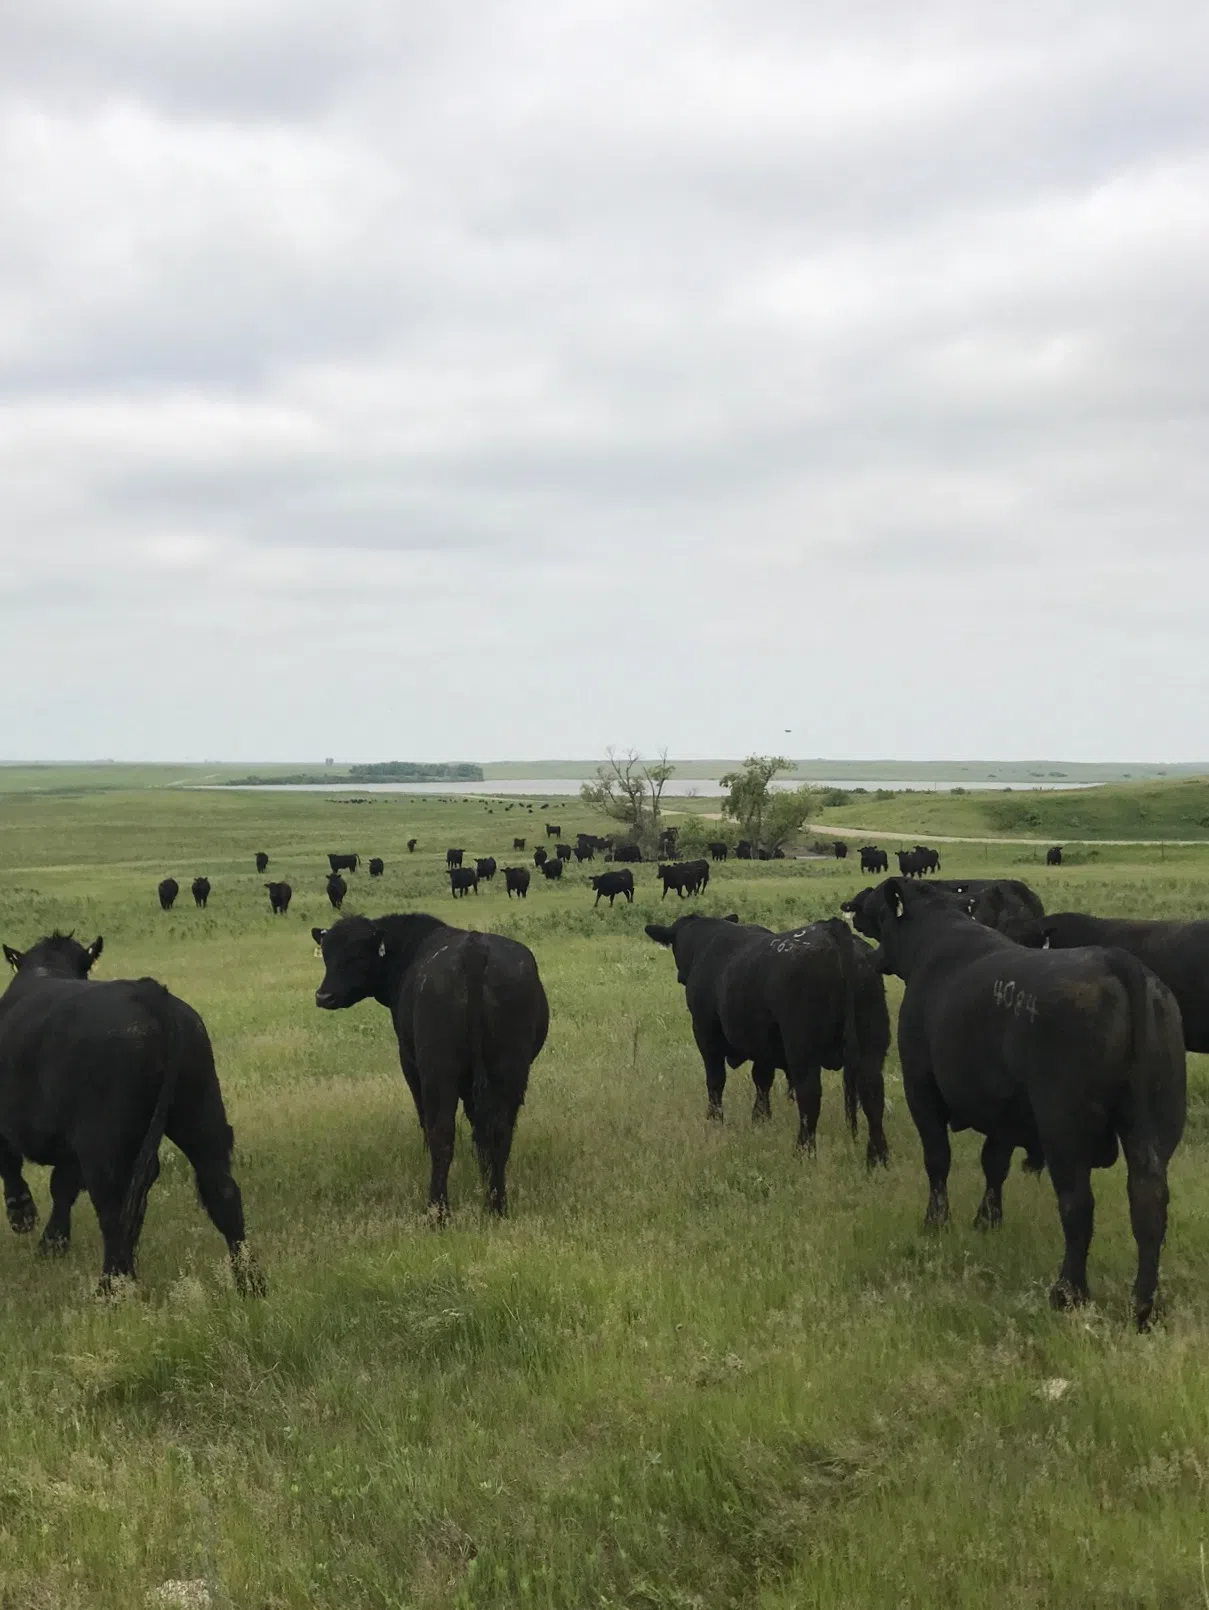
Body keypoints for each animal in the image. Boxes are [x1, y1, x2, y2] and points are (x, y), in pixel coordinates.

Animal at [0, 932, 263, 1295]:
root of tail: (148, 993)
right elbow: (62, 1187)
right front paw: (52, 1243)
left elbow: (18, 1168)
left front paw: (23, 1215)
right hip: (201, 1111)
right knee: (221, 1191)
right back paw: (249, 1283)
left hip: (102, 1142)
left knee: (113, 1208)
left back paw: (111, 1287)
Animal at [311, 913, 548, 1217]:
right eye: (326, 955)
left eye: (356, 956)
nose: (323, 996)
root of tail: (474, 948)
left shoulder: (410, 1064)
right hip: (510, 1068)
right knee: (498, 1132)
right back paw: (496, 1206)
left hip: (438, 1071)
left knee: (441, 1134)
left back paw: (438, 1211)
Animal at [645, 913, 890, 1163]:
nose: (679, 976)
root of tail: (832, 929)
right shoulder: (764, 1044)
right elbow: (762, 1079)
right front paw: (760, 1119)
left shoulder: (705, 1031)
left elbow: (716, 1079)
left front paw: (715, 1119)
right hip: (871, 1043)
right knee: (873, 1094)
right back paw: (878, 1157)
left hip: (802, 1046)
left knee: (809, 1094)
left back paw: (804, 1149)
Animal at [858, 877, 1186, 1329]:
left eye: (876, 909)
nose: (856, 913)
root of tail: (1120, 964)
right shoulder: (1005, 1109)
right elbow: (994, 1163)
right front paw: (986, 1220)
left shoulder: (920, 1088)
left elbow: (938, 1159)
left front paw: (936, 1222)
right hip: (1154, 1123)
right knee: (1148, 1202)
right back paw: (1143, 1307)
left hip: (1062, 1125)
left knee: (1078, 1204)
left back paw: (1068, 1292)